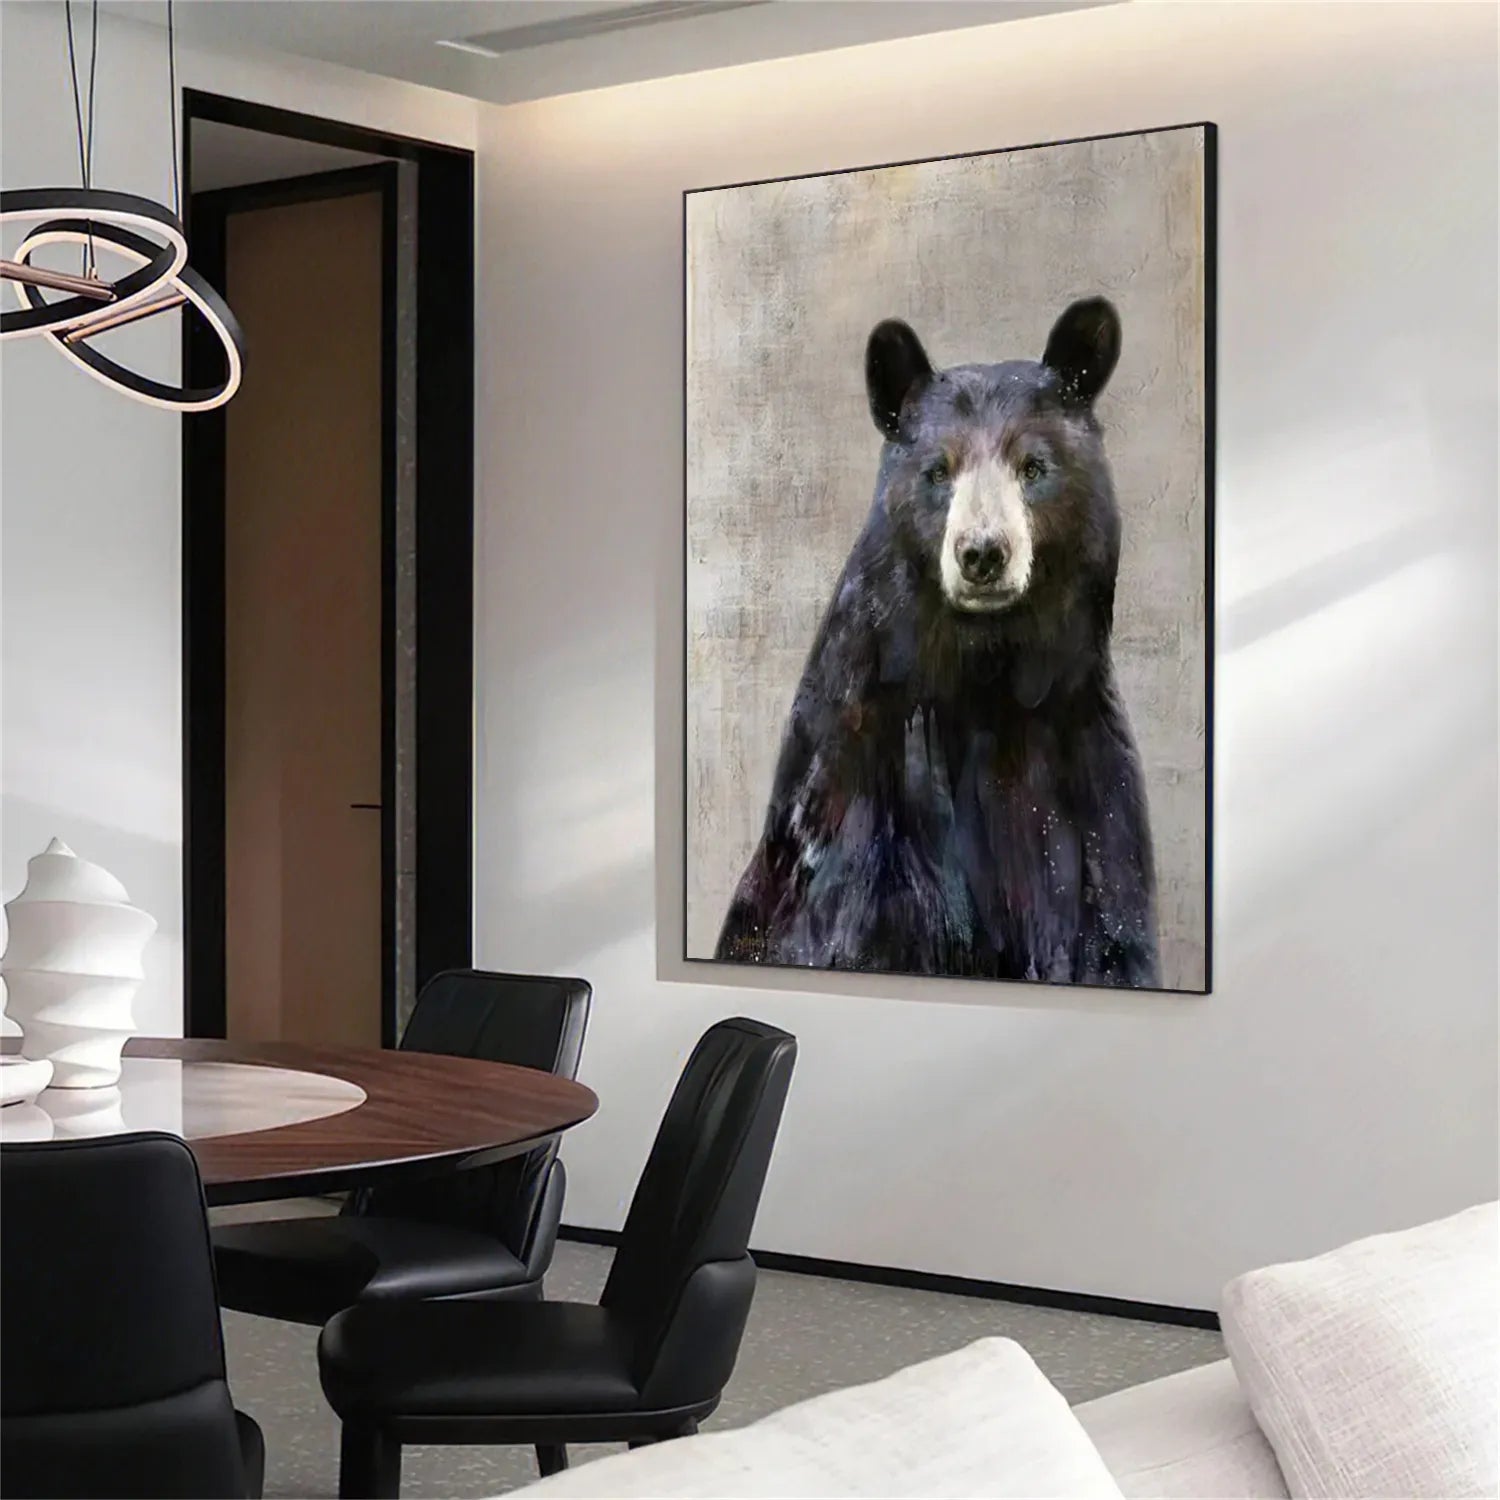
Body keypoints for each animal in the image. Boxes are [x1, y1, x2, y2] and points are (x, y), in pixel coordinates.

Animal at [714, 297, 1160, 989]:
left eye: (1034, 467)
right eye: (937, 470)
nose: (982, 553)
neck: (984, 677)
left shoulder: (1088, 787)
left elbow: (1108, 931)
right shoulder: (857, 799)